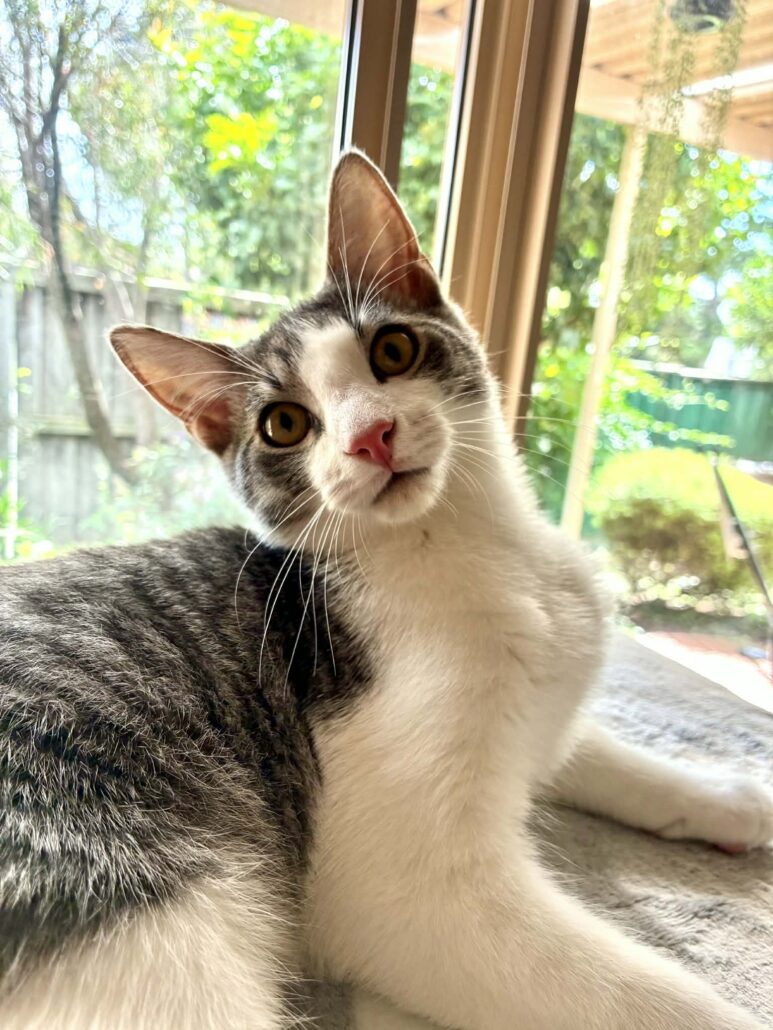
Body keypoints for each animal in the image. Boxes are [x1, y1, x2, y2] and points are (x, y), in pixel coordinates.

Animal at [1, 150, 771, 1030]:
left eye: (393, 350)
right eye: (284, 425)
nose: (371, 435)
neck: (472, 548)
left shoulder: (543, 702)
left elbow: (588, 745)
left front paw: (724, 797)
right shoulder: (410, 889)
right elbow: (645, 997)